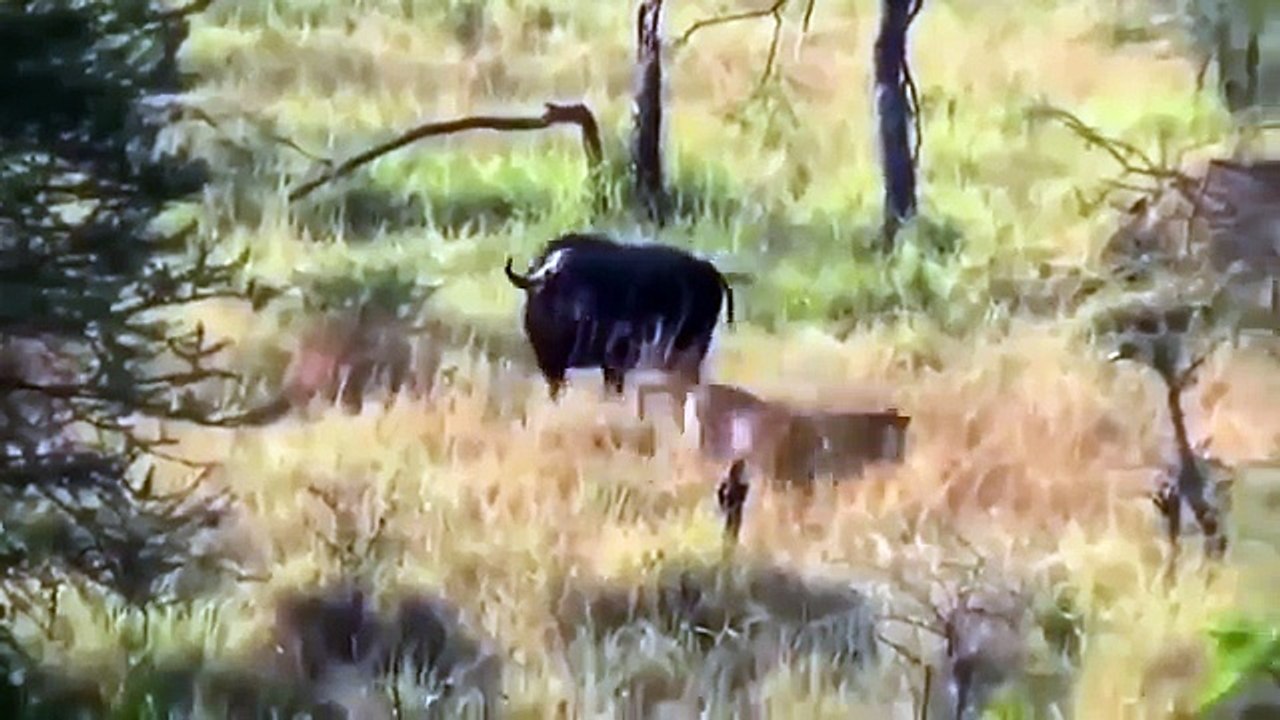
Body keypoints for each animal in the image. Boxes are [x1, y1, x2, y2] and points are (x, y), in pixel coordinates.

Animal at [504, 232, 735, 399]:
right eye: (563, 284)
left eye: (587, 285)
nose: (581, 312)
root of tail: (709, 269)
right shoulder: (550, 364)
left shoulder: (616, 361)